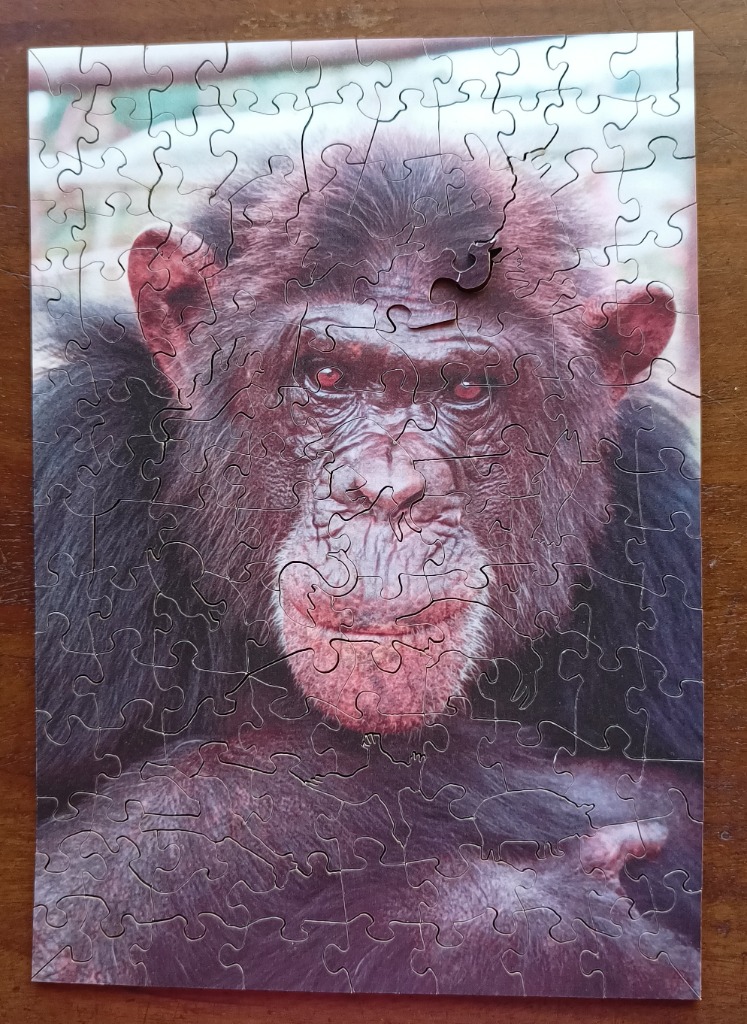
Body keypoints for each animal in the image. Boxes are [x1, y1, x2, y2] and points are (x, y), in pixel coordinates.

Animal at [31, 127, 702, 997]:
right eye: (326, 375)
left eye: (466, 389)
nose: (387, 491)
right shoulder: (69, 473)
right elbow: (67, 920)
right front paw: (519, 911)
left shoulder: (667, 529)